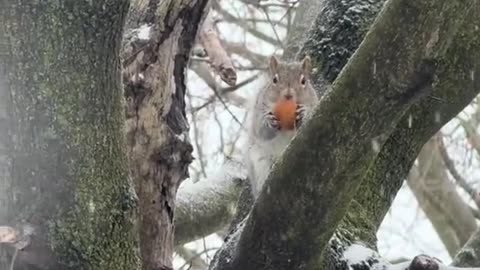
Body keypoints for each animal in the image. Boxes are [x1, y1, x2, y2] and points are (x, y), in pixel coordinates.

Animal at [248, 54, 318, 198]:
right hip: (260, 163)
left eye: (304, 81)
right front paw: (269, 121)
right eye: (274, 80)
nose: (288, 95)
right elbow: (261, 130)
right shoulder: (259, 111)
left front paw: (304, 113)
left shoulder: (315, 103)